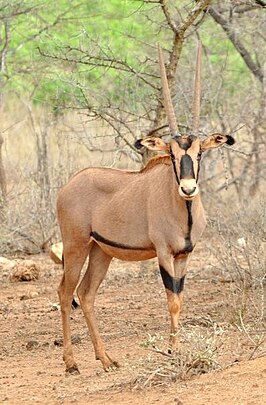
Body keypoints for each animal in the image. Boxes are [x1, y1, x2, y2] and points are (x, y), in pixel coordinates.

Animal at [56, 43, 235, 372]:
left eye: (199, 153)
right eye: (173, 154)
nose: (188, 189)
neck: (183, 211)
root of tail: (69, 185)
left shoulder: (185, 255)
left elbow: (180, 298)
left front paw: (175, 348)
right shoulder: (163, 253)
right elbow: (172, 300)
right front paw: (172, 351)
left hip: (101, 251)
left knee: (86, 294)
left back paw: (106, 358)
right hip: (76, 246)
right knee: (65, 293)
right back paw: (72, 363)